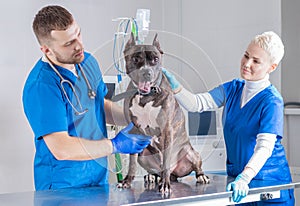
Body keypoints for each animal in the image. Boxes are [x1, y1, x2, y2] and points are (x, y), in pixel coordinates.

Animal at [116, 33, 210, 194]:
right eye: (135, 59)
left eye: (155, 59)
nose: (146, 72)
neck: (146, 96)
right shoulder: (133, 130)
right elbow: (132, 162)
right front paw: (127, 181)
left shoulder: (167, 130)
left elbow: (166, 159)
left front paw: (165, 185)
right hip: (143, 156)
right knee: (155, 170)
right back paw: (152, 177)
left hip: (191, 152)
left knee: (190, 167)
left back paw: (199, 176)